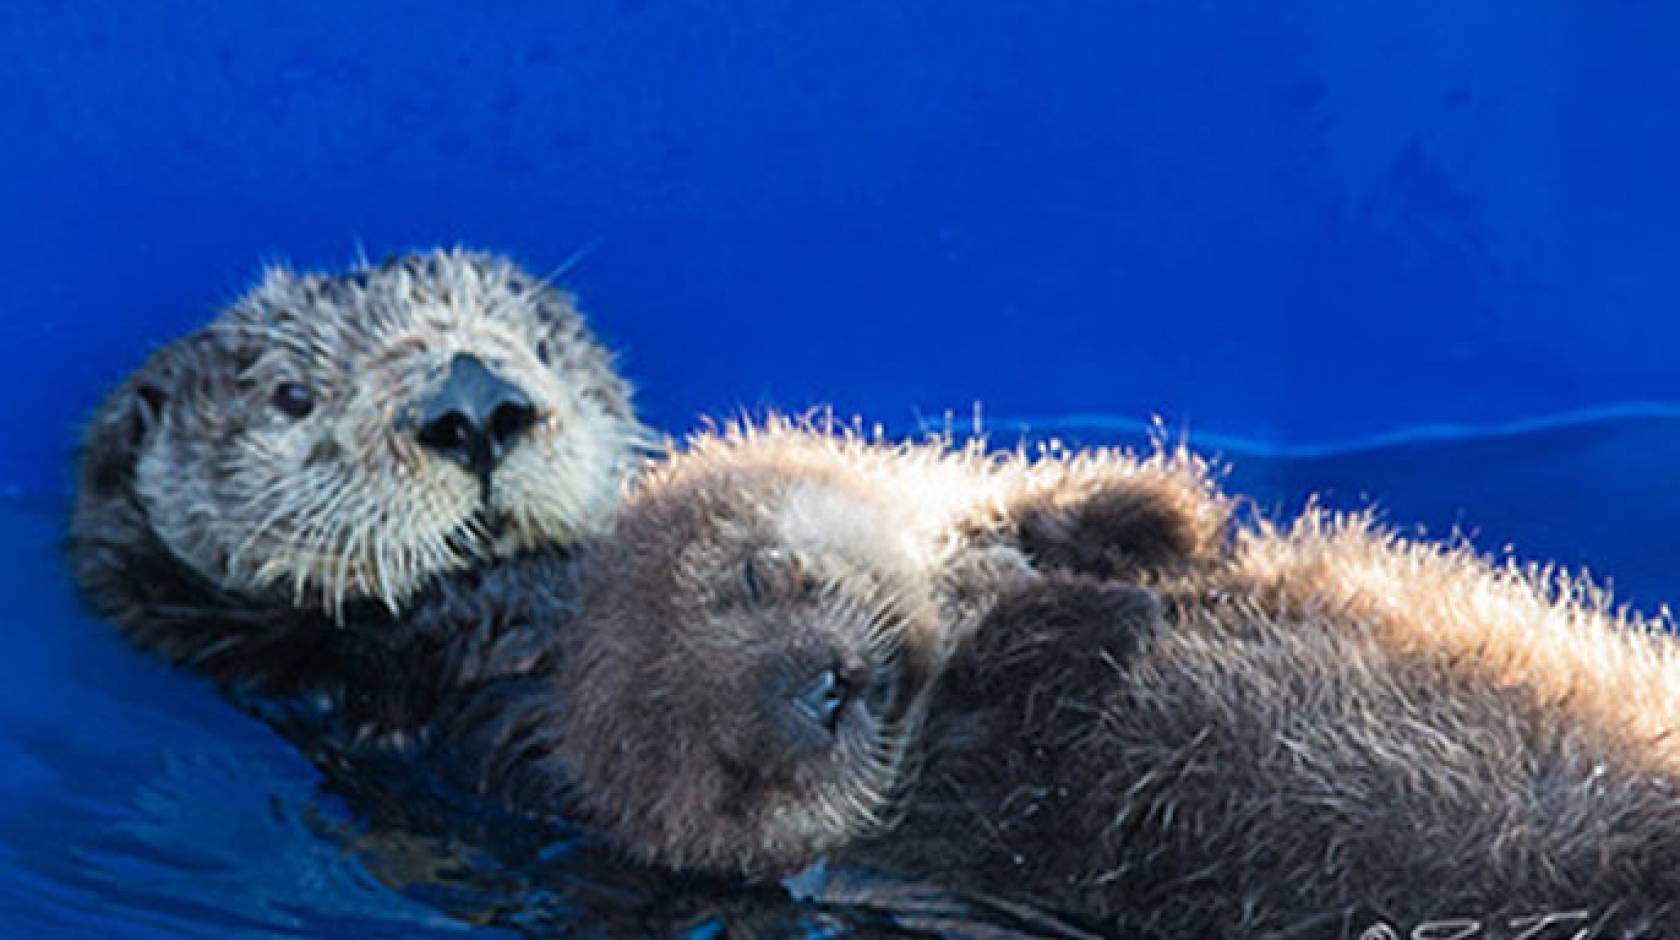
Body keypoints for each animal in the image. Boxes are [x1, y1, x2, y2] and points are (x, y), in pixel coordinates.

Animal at [463, 419, 1680, 937]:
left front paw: (1114, 531)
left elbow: (1139, 517)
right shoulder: (966, 829)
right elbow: (1020, 751)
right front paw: (1093, 615)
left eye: (753, 578)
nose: (822, 689)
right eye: (735, 773)